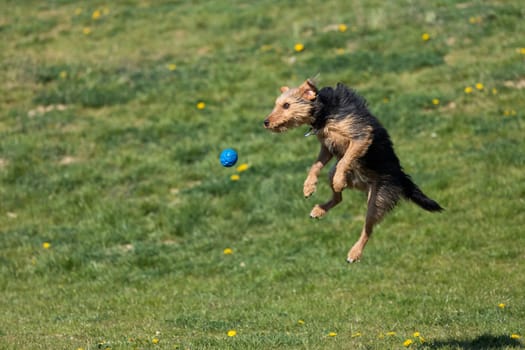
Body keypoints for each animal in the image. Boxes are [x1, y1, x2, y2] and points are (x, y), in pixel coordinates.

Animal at [262, 79, 442, 262]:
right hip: (332, 173)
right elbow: (315, 165)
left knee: (368, 229)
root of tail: (401, 176)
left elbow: (345, 159)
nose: (265, 122)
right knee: (338, 198)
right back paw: (320, 209)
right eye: (277, 104)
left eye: (286, 105)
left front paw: (338, 181)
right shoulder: (327, 147)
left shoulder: (360, 137)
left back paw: (354, 252)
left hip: (377, 200)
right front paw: (308, 186)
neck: (324, 111)